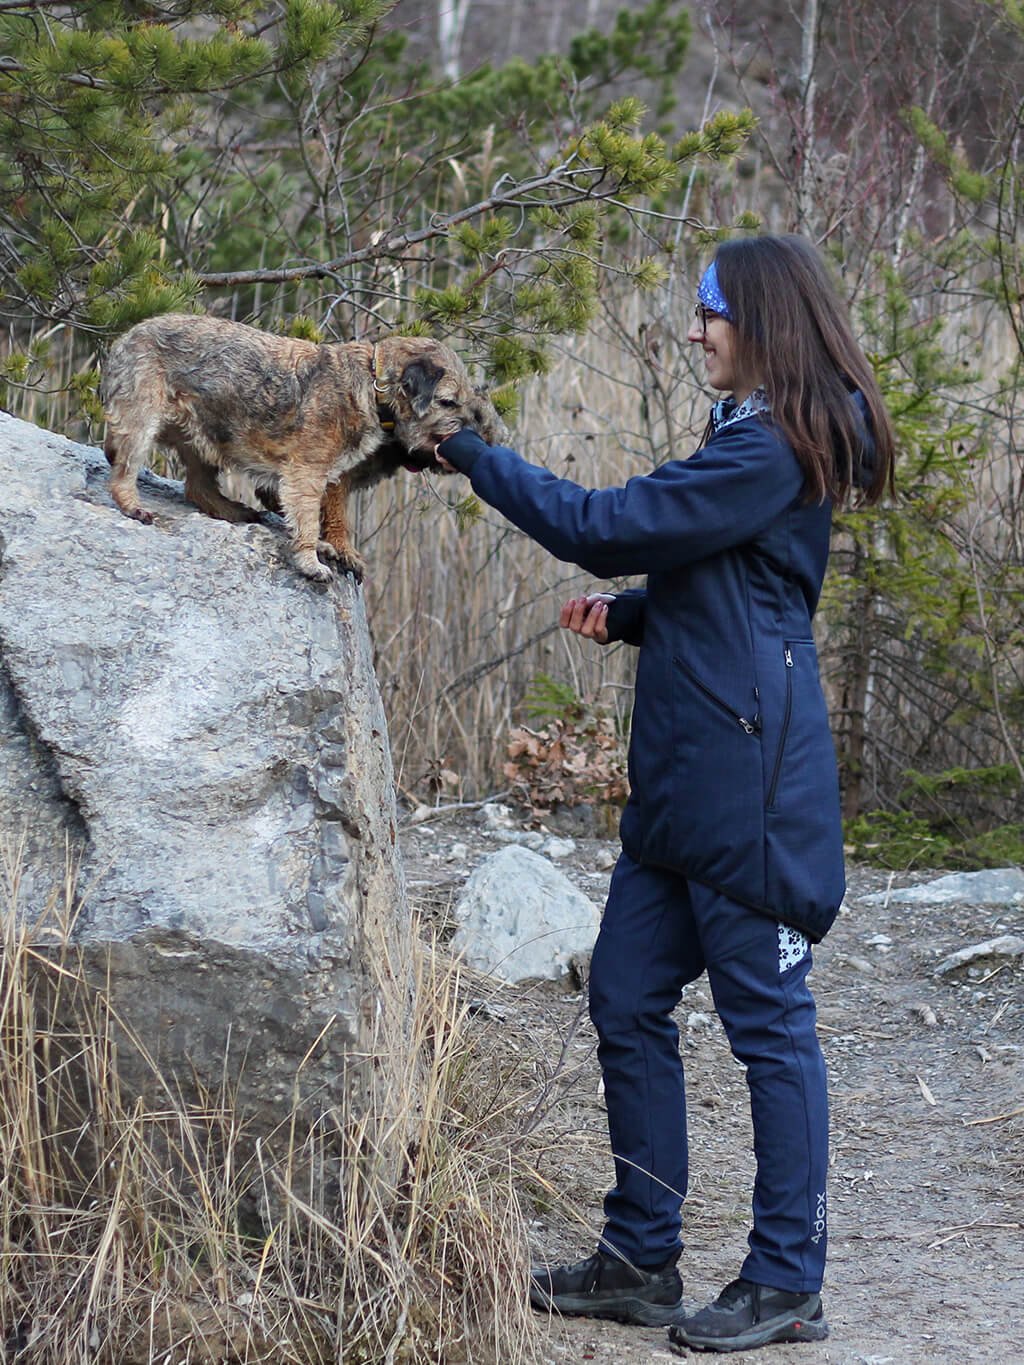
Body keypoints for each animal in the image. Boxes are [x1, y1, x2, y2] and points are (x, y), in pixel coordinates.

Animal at [100, 315, 510, 581]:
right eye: (448, 402)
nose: (478, 437)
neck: (371, 385)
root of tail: (123, 339)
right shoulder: (308, 473)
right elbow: (311, 518)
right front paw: (312, 559)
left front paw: (324, 550)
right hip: (142, 417)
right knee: (124, 470)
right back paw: (133, 504)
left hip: (206, 435)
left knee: (197, 487)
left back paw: (233, 510)